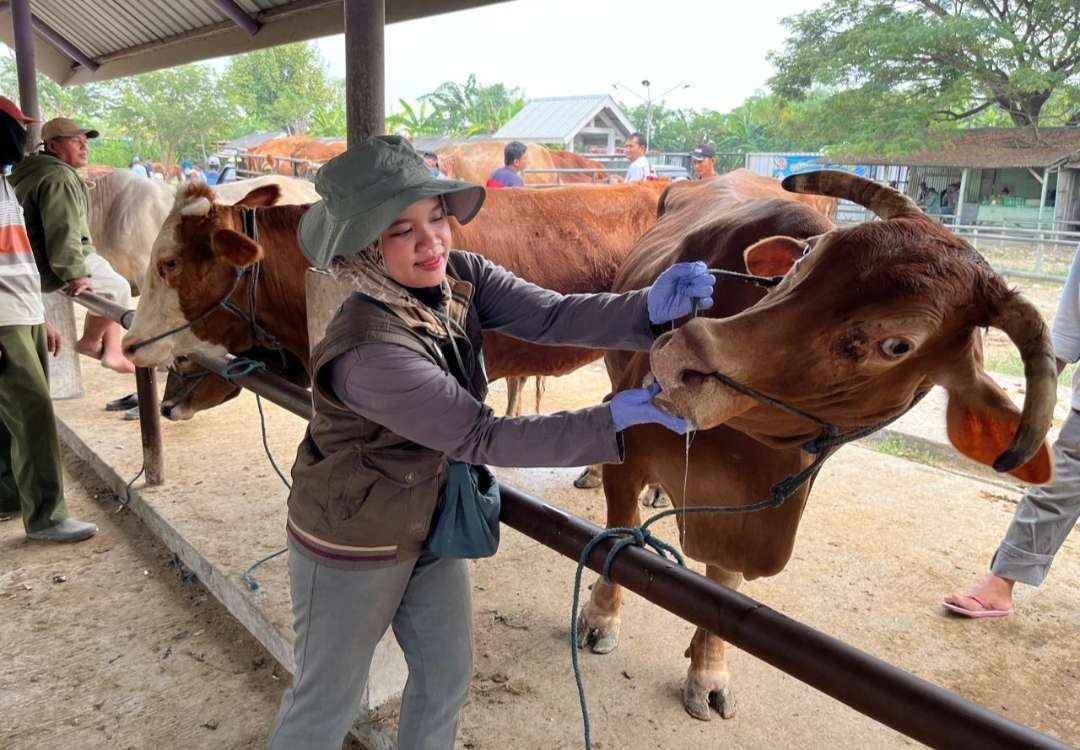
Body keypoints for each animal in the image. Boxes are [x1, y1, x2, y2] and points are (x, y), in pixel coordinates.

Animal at [574, 168, 1054, 721]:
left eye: (898, 345)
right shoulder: (627, 450)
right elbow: (620, 532)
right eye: (807, 258)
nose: (678, 357)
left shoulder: (752, 513)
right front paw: (600, 617)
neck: (744, 448)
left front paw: (709, 672)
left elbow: (724, 586)